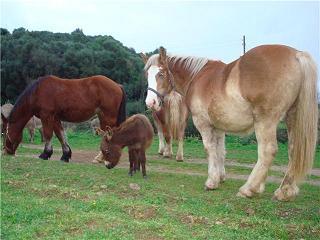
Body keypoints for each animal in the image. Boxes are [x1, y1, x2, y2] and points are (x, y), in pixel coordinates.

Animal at [146, 45, 318, 201]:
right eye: (146, 74)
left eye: (161, 73)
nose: (150, 102)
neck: (197, 76)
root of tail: (297, 54)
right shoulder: (219, 127)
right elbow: (220, 151)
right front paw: (221, 177)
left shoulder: (203, 124)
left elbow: (209, 149)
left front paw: (212, 181)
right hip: (292, 118)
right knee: (293, 150)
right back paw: (285, 191)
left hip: (265, 121)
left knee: (267, 151)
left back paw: (249, 188)